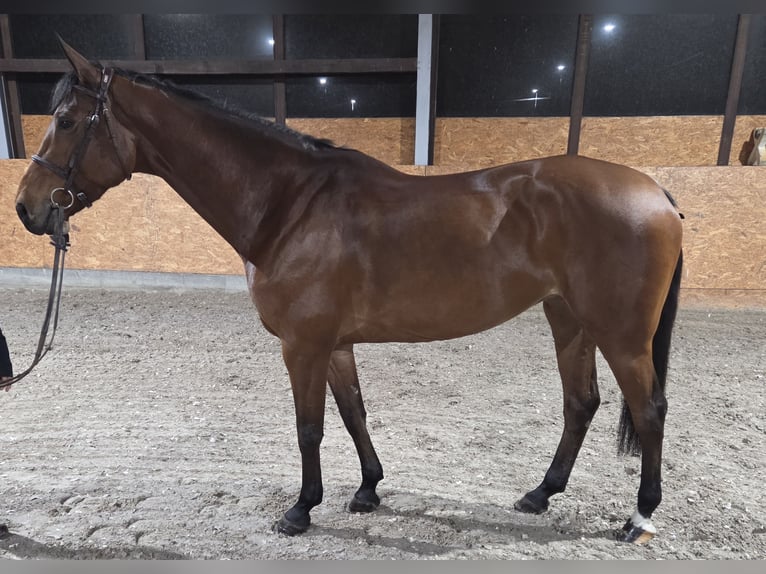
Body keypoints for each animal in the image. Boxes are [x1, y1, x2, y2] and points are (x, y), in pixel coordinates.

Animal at [15, 41, 684, 545]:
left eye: (67, 122)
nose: (26, 209)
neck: (290, 205)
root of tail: (655, 191)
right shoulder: (334, 344)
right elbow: (353, 411)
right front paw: (366, 489)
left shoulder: (301, 345)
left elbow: (309, 425)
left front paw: (300, 508)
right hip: (567, 318)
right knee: (581, 403)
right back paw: (540, 494)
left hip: (621, 335)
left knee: (649, 411)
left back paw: (639, 517)